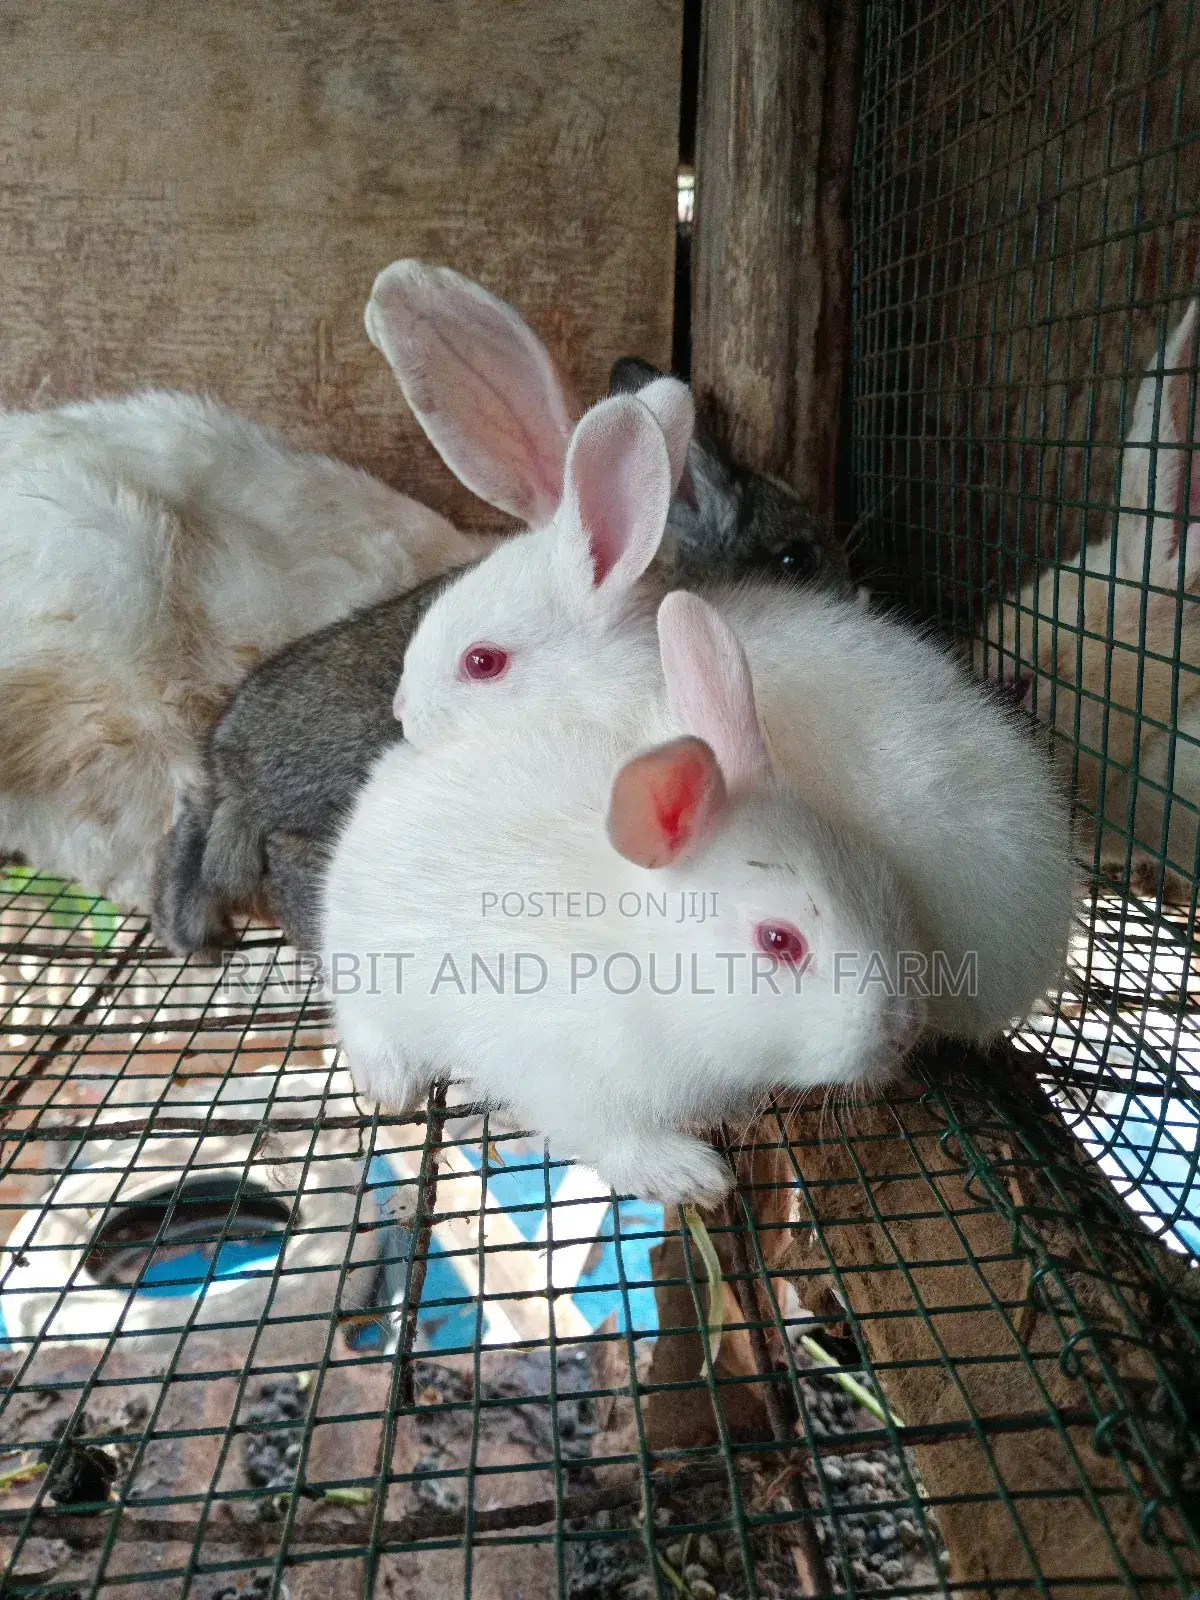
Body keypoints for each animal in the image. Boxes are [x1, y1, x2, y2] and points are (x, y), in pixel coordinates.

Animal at [322, 594, 925, 1205]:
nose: (906, 1029)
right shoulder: (568, 1083)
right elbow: (617, 1143)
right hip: (367, 966)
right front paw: (693, 1177)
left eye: (875, 872)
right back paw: (391, 1081)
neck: (648, 966)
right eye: (780, 940)